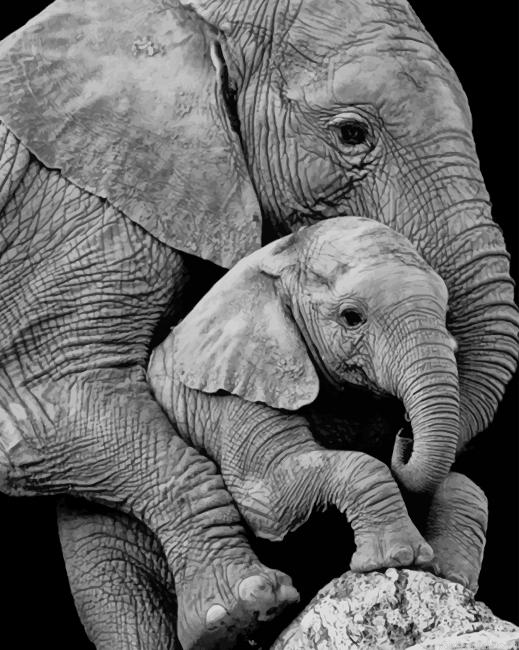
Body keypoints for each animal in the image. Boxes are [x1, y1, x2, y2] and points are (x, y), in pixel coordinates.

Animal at [0, 0, 516, 647]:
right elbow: (52, 406)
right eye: (352, 133)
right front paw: (241, 613)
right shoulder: (72, 209)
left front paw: (439, 573)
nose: (403, 435)